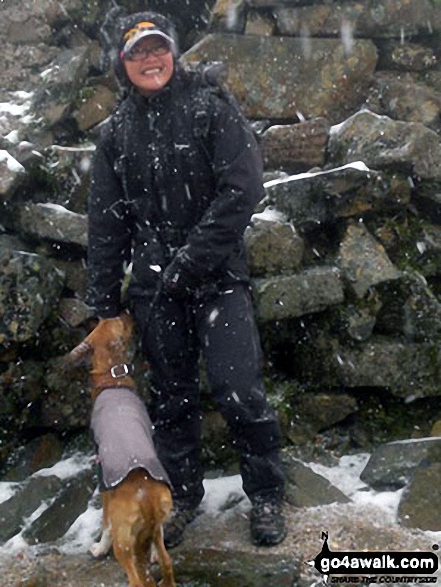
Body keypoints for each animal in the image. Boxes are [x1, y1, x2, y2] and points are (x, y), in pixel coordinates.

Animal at [68, 314, 174, 587]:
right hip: (159, 520)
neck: (113, 381)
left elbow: (104, 522)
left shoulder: (103, 478)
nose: (128, 311)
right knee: (166, 562)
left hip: (123, 541)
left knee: (135, 578)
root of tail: (145, 496)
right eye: (119, 321)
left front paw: (98, 548)